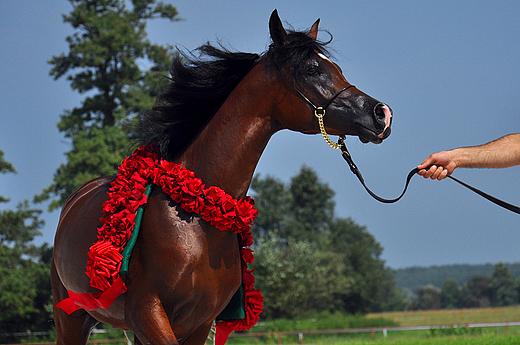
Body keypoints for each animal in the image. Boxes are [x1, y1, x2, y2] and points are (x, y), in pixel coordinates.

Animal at [52, 10, 392, 344]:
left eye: (336, 67)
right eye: (311, 69)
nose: (381, 114)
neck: (197, 216)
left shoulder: (198, 322)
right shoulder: (149, 314)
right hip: (72, 318)